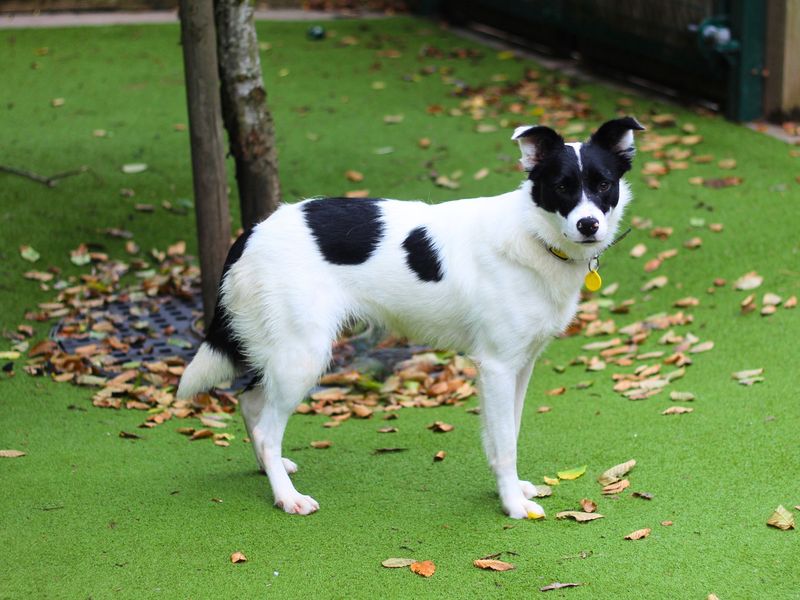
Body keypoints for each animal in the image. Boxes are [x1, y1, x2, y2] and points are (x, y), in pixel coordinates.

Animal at [175, 116, 644, 516]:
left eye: (603, 185)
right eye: (562, 187)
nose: (589, 225)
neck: (532, 234)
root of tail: (253, 232)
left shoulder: (519, 365)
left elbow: (503, 435)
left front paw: (510, 489)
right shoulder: (496, 366)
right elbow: (506, 442)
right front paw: (512, 504)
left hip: (284, 350)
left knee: (251, 403)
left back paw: (270, 474)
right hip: (303, 354)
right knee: (267, 427)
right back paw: (287, 498)